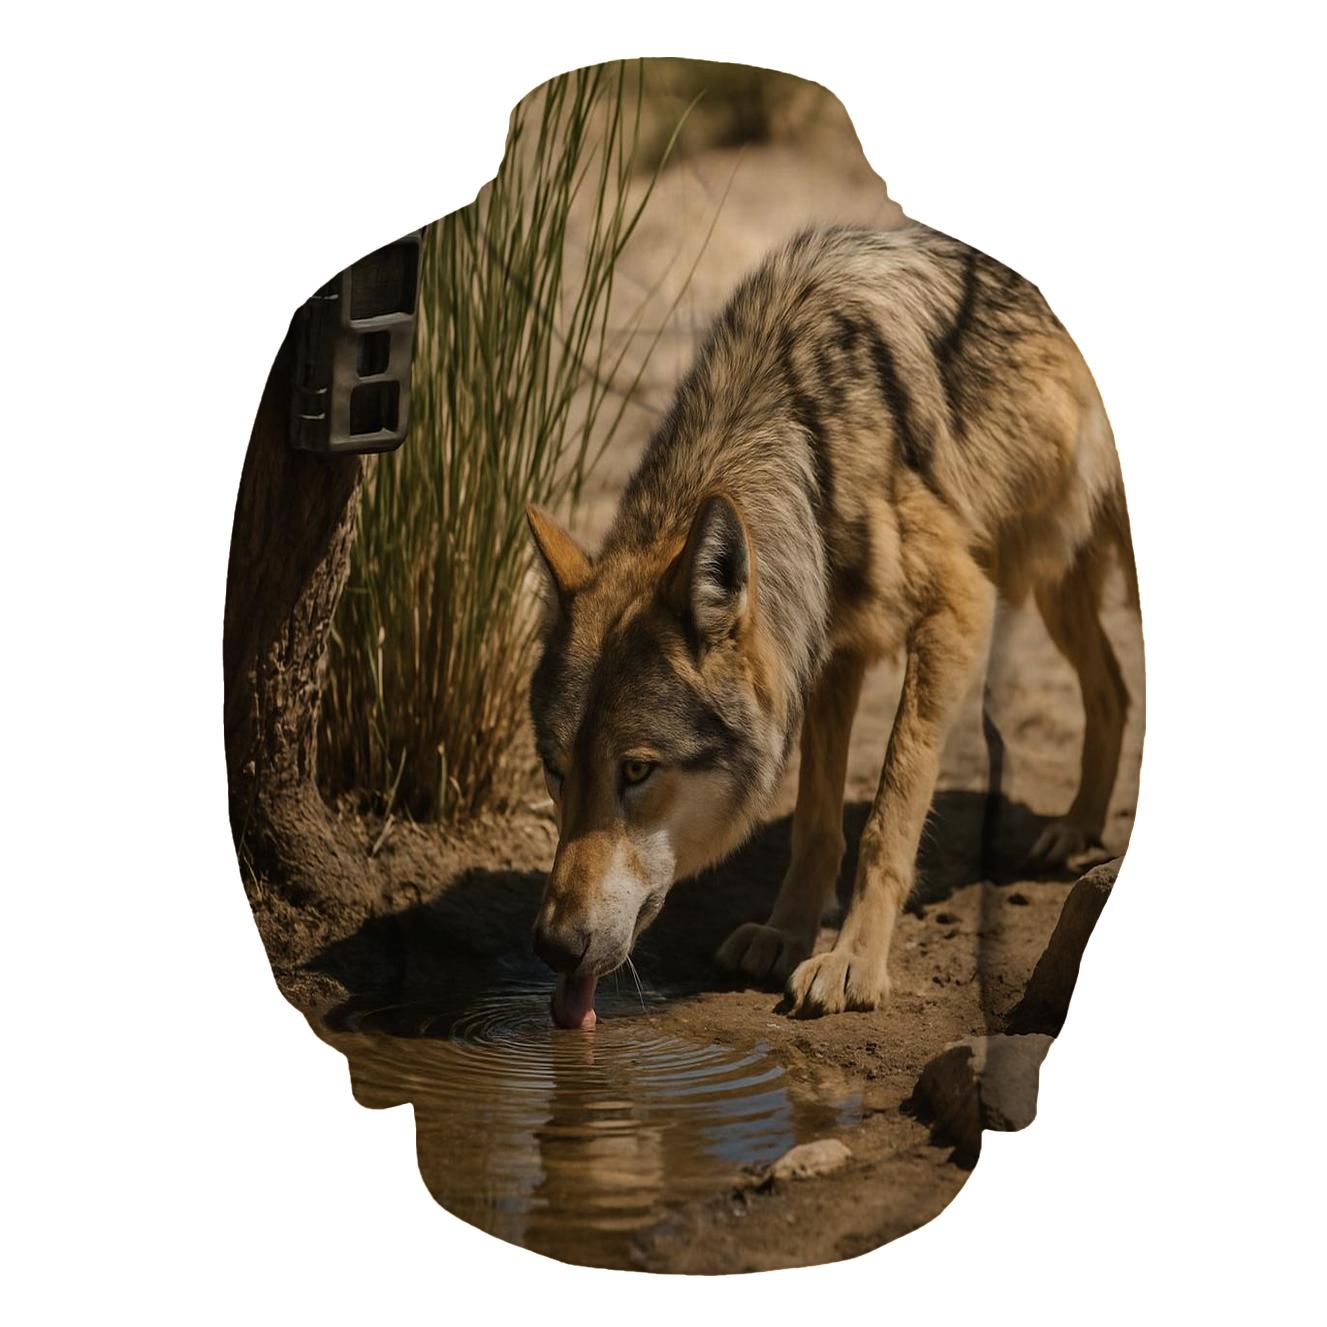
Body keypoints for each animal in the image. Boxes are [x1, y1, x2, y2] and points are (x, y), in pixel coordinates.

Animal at [526, 223, 1137, 1027]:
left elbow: (888, 809)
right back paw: (1074, 830)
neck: (806, 441)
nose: (554, 947)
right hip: (1053, 577)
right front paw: (785, 933)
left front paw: (853, 962)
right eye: (555, 769)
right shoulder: (827, 649)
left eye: (636, 771)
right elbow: (815, 820)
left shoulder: (957, 608)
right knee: (1114, 692)